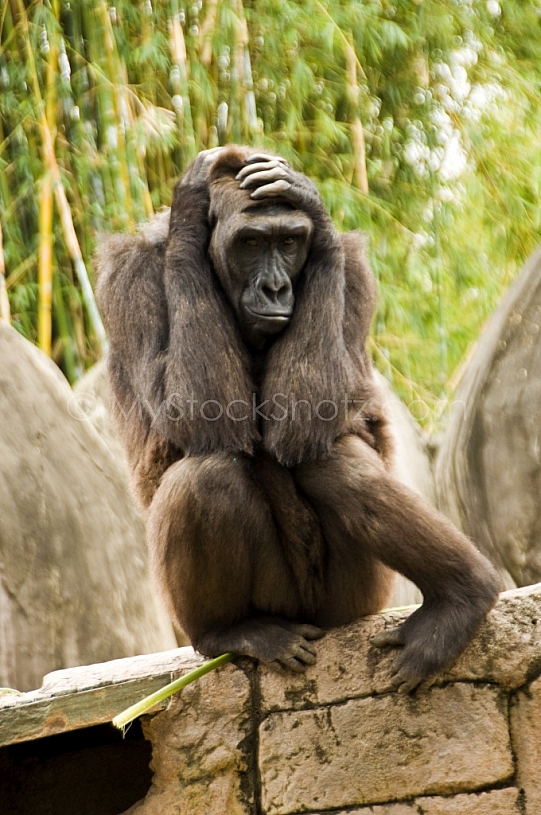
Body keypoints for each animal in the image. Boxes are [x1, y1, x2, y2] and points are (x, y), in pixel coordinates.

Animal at [96, 145, 499, 692]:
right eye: (251, 243)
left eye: (289, 241)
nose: (275, 285)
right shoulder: (128, 276)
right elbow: (198, 414)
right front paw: (188, 211)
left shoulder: (354, 271)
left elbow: (309, 417)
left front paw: (314, 209)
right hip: (270, 608)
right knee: (207, 475)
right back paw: (231, 631)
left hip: (351, 603)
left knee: (333, 459)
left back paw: (462, 595)